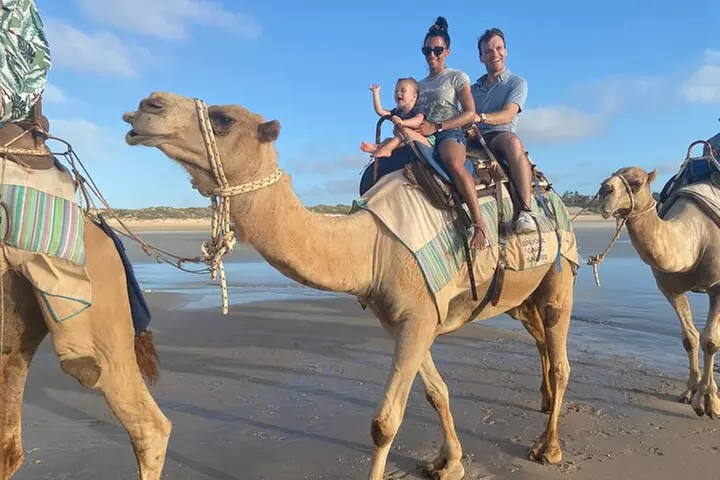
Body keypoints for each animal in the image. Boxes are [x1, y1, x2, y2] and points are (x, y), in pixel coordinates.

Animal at [122, 91, 577, 479]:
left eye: (223, 119)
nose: (147, 105)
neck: (372, 246)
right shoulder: (409, 319)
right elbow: (437, 392)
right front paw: (448, 464)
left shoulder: (417, 318)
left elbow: (384, 423)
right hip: (519, 295)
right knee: (539, 337)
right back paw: (542, 404)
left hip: (559, 274)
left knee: (560, 360)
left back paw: (549, 447)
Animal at [598, 166, 720, 419]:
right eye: (607, 178)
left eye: (636, 182)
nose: (604, 190)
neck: (697, 236)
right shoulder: (669, 288)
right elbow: (690, 338)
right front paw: (690, 392)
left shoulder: (718, 286)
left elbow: (711, 341)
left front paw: (709, 402)